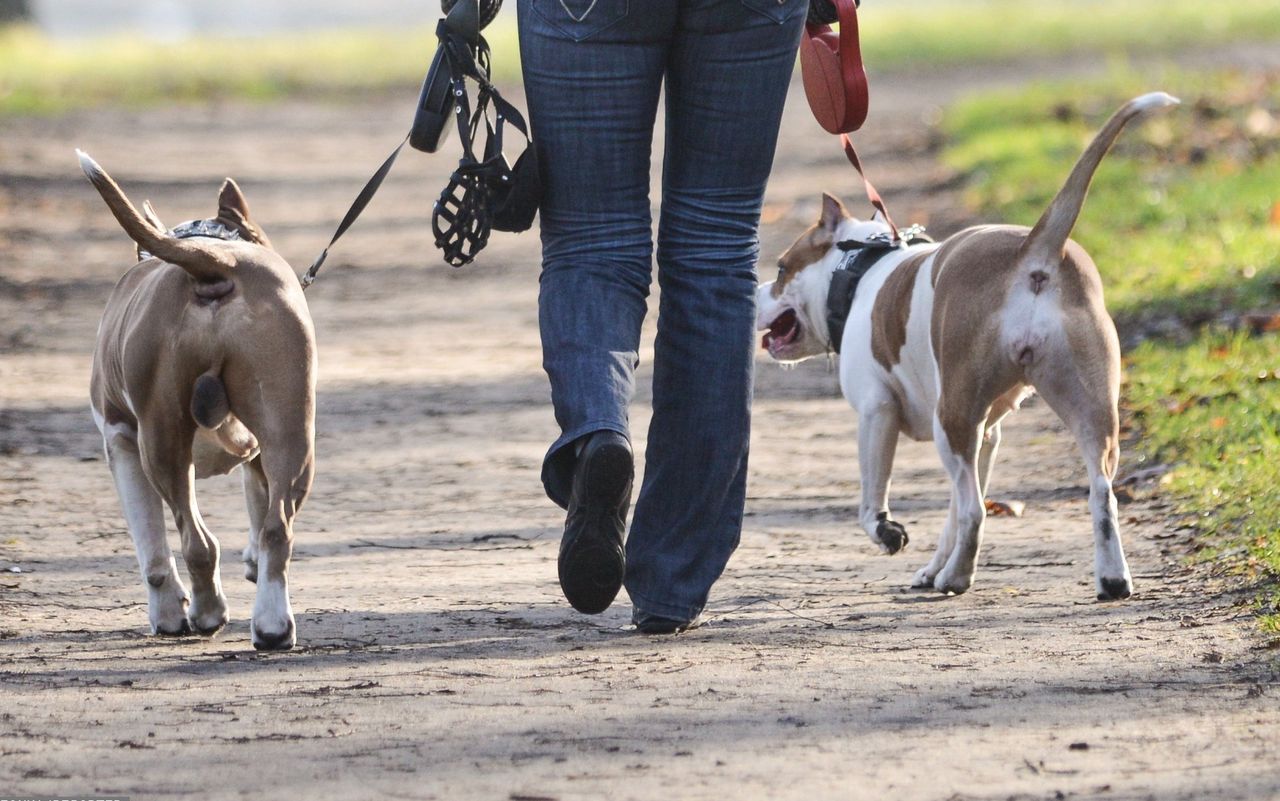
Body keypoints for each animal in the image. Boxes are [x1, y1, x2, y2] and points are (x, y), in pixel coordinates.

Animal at [81, 150, 316, 650]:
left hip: (162, 441)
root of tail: (216, 262)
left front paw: (167, 613)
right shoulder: (259, 450)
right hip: (290, 423)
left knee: (197, 542)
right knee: (277, 526)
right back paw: (272, 625)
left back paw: (208, 613)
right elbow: (257, 501)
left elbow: (152, 548)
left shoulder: (120, 442)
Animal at [747, 90, 1177, 596]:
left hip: (950, 420)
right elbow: (951, 515)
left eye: (780, 269)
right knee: (1099, 494)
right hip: (1082, 408)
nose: (755, 293)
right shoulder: (986, 432)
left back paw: (956, 577)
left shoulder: (877, 412)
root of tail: (1034, 251)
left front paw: (888, 533)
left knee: (974, 509)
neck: (859, 268)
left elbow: (875, 498)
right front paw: (931, 566)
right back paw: (1109, 578)